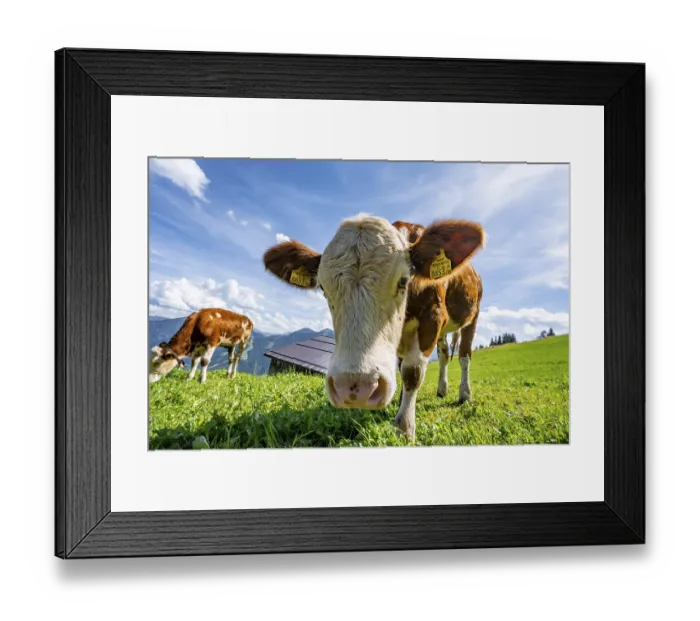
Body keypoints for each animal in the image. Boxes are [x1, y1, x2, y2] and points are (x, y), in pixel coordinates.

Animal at [263, 215, 484, 439]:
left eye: (404, 280)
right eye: (323, 288)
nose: (355, 387)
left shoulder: (432, 318)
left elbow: (412, 372)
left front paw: (404, 426)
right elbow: (403, 369)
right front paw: (399, 406)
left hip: (473, 315)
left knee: (464, 355)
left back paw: (465, 394)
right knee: (444, 355)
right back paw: (442, 389)